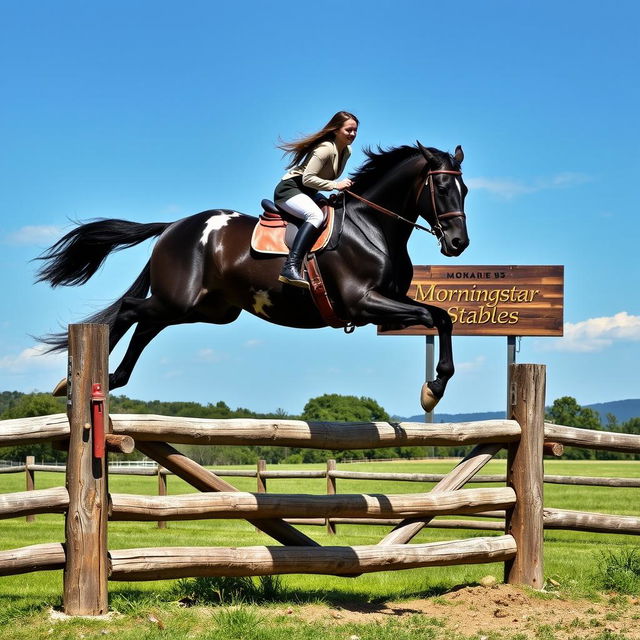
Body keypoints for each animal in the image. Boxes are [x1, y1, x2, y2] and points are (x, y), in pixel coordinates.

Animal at [38, 142, 470, 410]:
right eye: (441, 186)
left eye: (465, 189)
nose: (458, 242)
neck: (374, 227)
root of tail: (172, 226)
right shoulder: (363, 302)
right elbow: (433, 316)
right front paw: (433, 390)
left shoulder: (387, 305)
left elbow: (441, 318)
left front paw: (434, 388)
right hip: (180, 300)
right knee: (130, 309)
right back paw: (75, 382)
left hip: (206, 310)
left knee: (145, 324)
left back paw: (110, 379)